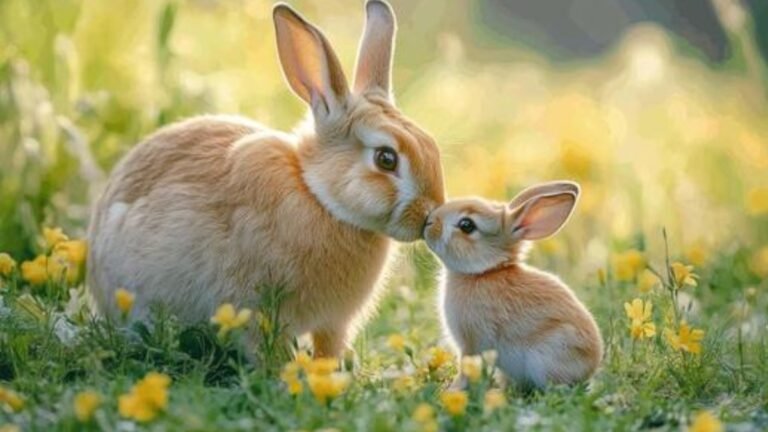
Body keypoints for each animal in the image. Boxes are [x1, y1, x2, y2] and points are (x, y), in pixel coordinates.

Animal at [86, 0, 445, 358]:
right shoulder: (254, 306)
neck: (318, 197)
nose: (430, 215)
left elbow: (328, 347)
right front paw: (282, 369)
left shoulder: (334, 323)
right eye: (386, 159)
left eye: (431, 145)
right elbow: (265, 348)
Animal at [424, 181, 602, 390]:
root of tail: (591, 366)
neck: (484, 272)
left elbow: (466, 367)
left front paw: (452, 390)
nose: (428, 222)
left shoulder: (472, 342)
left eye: (466, 225)